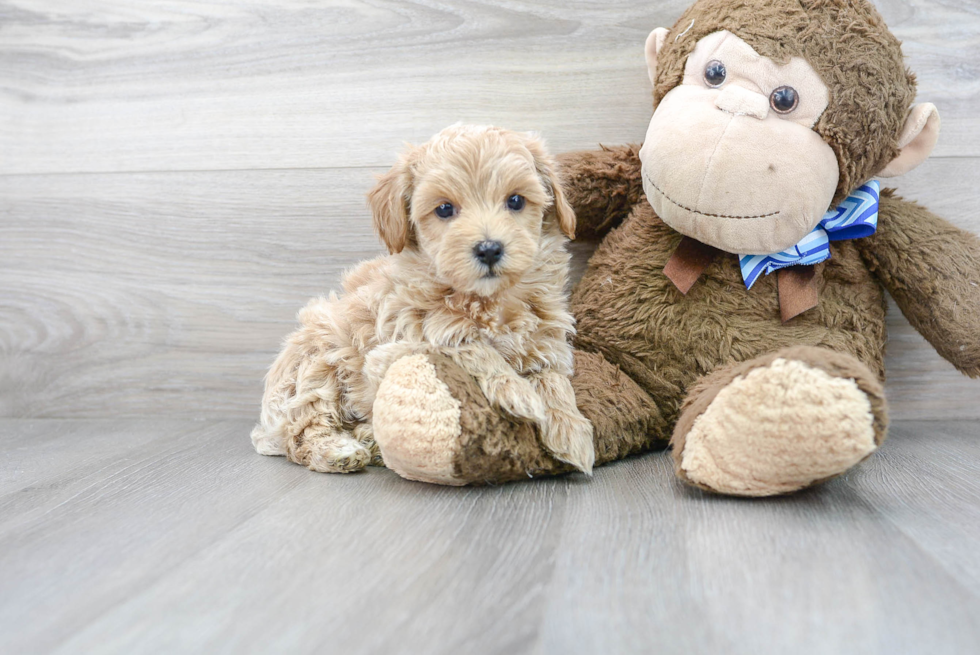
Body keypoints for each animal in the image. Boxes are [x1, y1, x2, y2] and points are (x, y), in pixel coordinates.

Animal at [249, 124, 592, 476]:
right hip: (317, 366)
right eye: (444, 209)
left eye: (515, 201)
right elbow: (467, 346)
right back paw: (340, 451)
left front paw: (571, 431)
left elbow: (554, 379)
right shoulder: (399, 346)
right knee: (302, 431)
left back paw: (370, 440)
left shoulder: (547, 342)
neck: (488, 301)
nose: (489, 249)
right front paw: (517, 392)